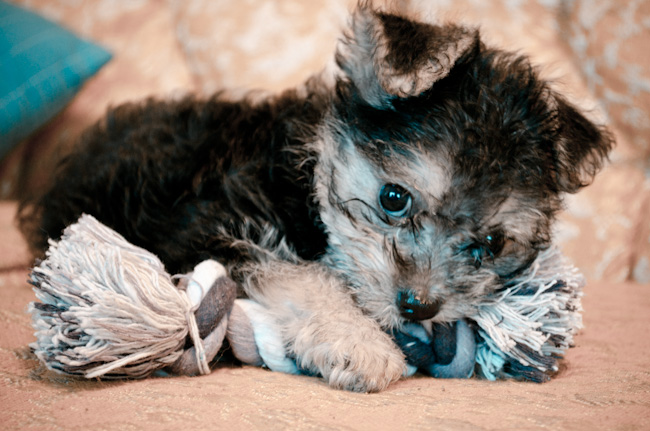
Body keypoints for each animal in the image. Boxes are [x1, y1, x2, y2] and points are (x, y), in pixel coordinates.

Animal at [19, 3, 608, 394]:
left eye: (490, 242)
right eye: (393, 197)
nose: (419, 305)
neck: (308, 176)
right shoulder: (205, 225)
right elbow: (302, 273)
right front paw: (359, 342)